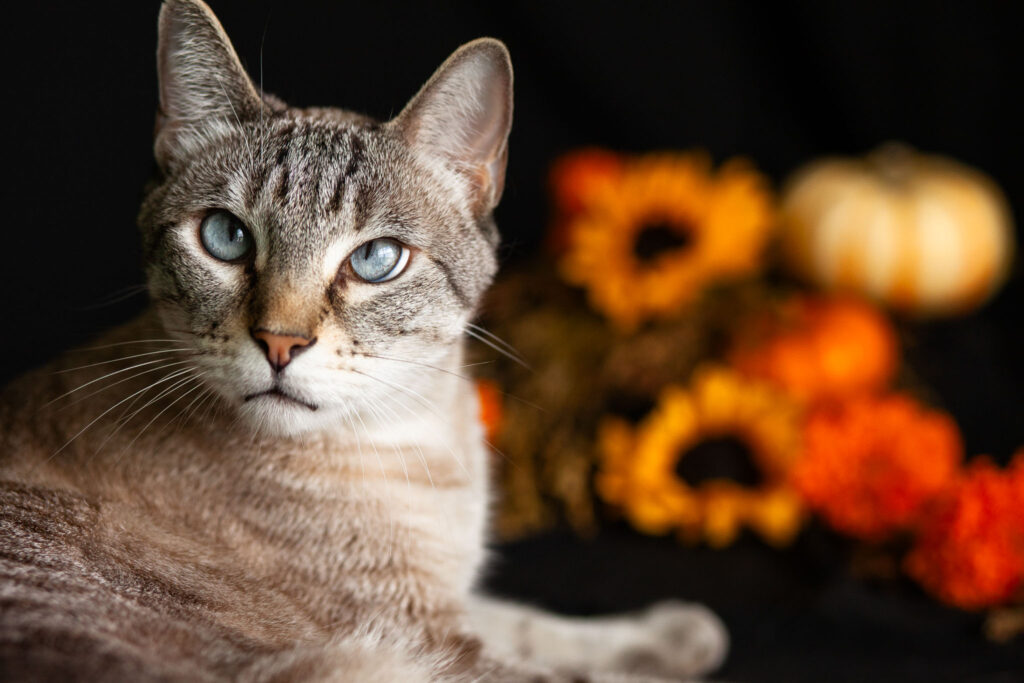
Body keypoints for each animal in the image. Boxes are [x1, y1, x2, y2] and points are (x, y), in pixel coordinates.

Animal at [0, 2, 729, 679]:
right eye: (226, 237)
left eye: (376, 259)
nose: (279, 343)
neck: (416, 432)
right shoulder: (431, 645)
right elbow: (562, 665)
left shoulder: (446, 616)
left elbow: (531, 621)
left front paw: (675, 634)